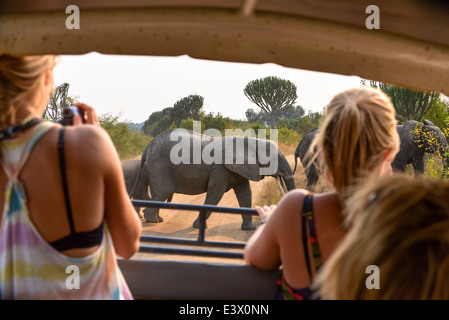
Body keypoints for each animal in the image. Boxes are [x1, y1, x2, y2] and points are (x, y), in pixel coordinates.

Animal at [130, 127, 298, 230]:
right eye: (273, 160)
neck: (251, 141)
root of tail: (148, 146)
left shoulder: (239, 169)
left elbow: (245, 193)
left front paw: (250, 229)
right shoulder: (220, 169)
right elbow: (215, 194)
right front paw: (198, 227)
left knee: (160, 194)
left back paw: (158, 219)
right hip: (160, 166)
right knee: (164, 192)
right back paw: (152, 220)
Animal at [292, 119, 446, 185]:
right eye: (435, 141)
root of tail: (300, 142)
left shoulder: (416, 150)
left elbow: (419, 167)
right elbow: (399, 168)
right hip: (311, 154)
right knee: (313, 175)